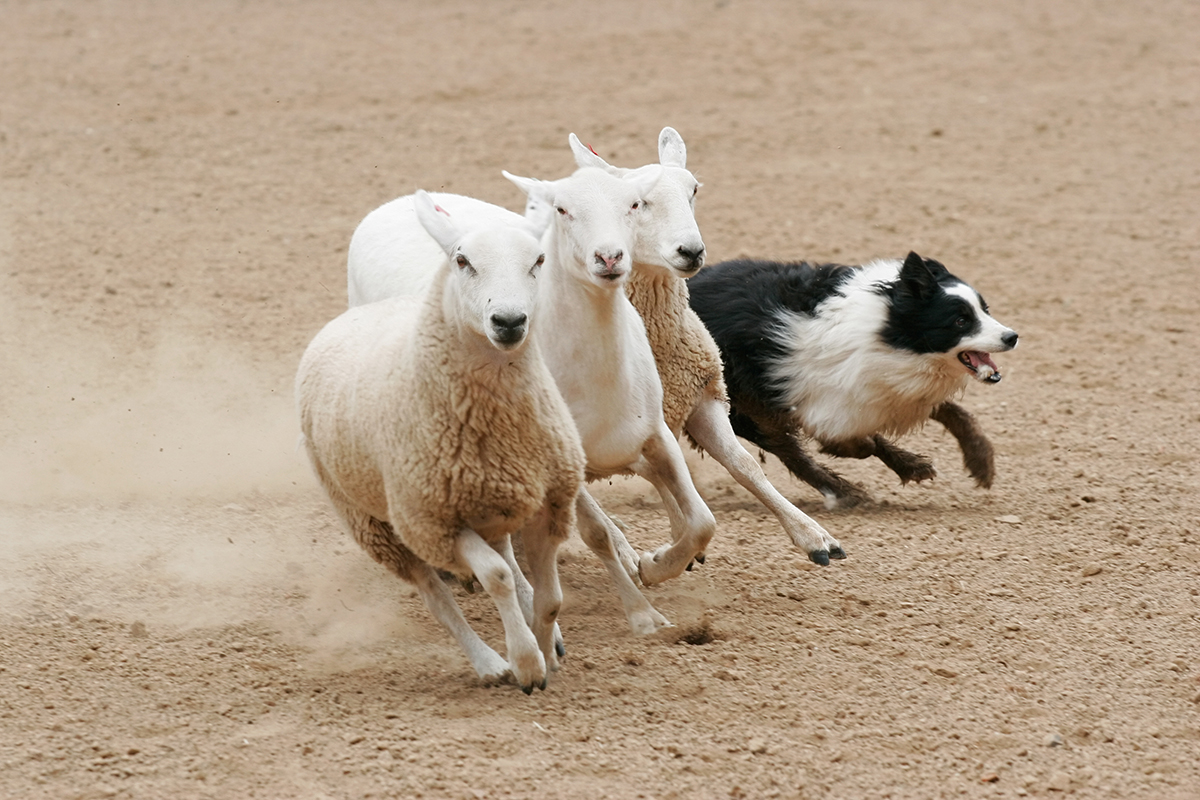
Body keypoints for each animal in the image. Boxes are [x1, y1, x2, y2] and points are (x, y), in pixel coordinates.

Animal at [297, 191, 585, 692]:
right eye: (462, 261)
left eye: (539, 261)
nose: (509, 321)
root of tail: (349, 317)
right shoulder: (433, 523)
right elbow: (495, 577)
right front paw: (527, 662)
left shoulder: (549, 501)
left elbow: (549, 596)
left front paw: (547, 648)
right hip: (376, 525)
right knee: (437, 597)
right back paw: (489, 663)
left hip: (491, 504)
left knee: (504, 562)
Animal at [564, 129, 846, 566]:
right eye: (636, 202)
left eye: (693, 190)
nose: (691, 251)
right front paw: (647, 555)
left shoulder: (701, 397)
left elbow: (745, 467)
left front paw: (813, 536)